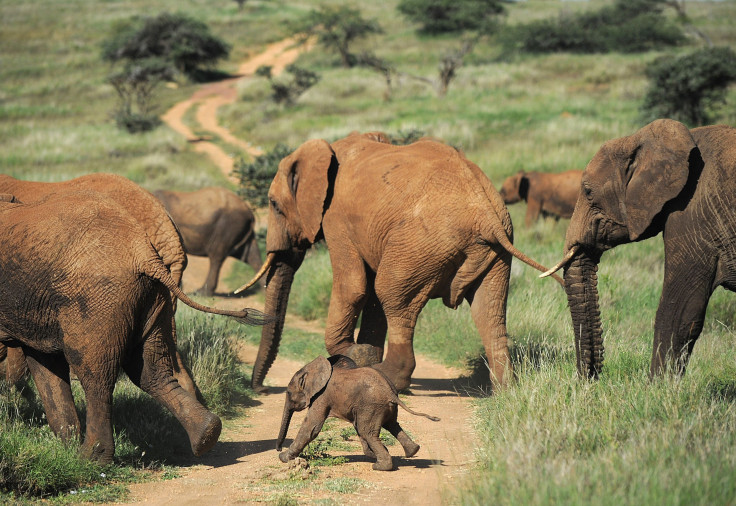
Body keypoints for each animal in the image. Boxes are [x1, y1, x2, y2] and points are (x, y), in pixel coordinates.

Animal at [239, 133, 560, 392]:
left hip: (422, 244)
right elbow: (369, 295)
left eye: (274, 206)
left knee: (391, 291)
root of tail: (486, 215)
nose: (261, 389)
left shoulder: (336, 219)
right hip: (491, 254)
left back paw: (389, 377)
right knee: (489, 310)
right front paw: (363, 356)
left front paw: (356, 355)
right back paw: (505, 391)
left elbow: (354, 286)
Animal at [274, 356, 436, 470]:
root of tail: (390, 392)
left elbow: (311, 427)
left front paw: (283, 458)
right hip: (380, 407)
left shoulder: (322, 396)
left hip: (372, 406)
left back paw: (380, 466)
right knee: (392, 425)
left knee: (368, 432)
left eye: (288, 393)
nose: (279, 448)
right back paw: (412, 451)